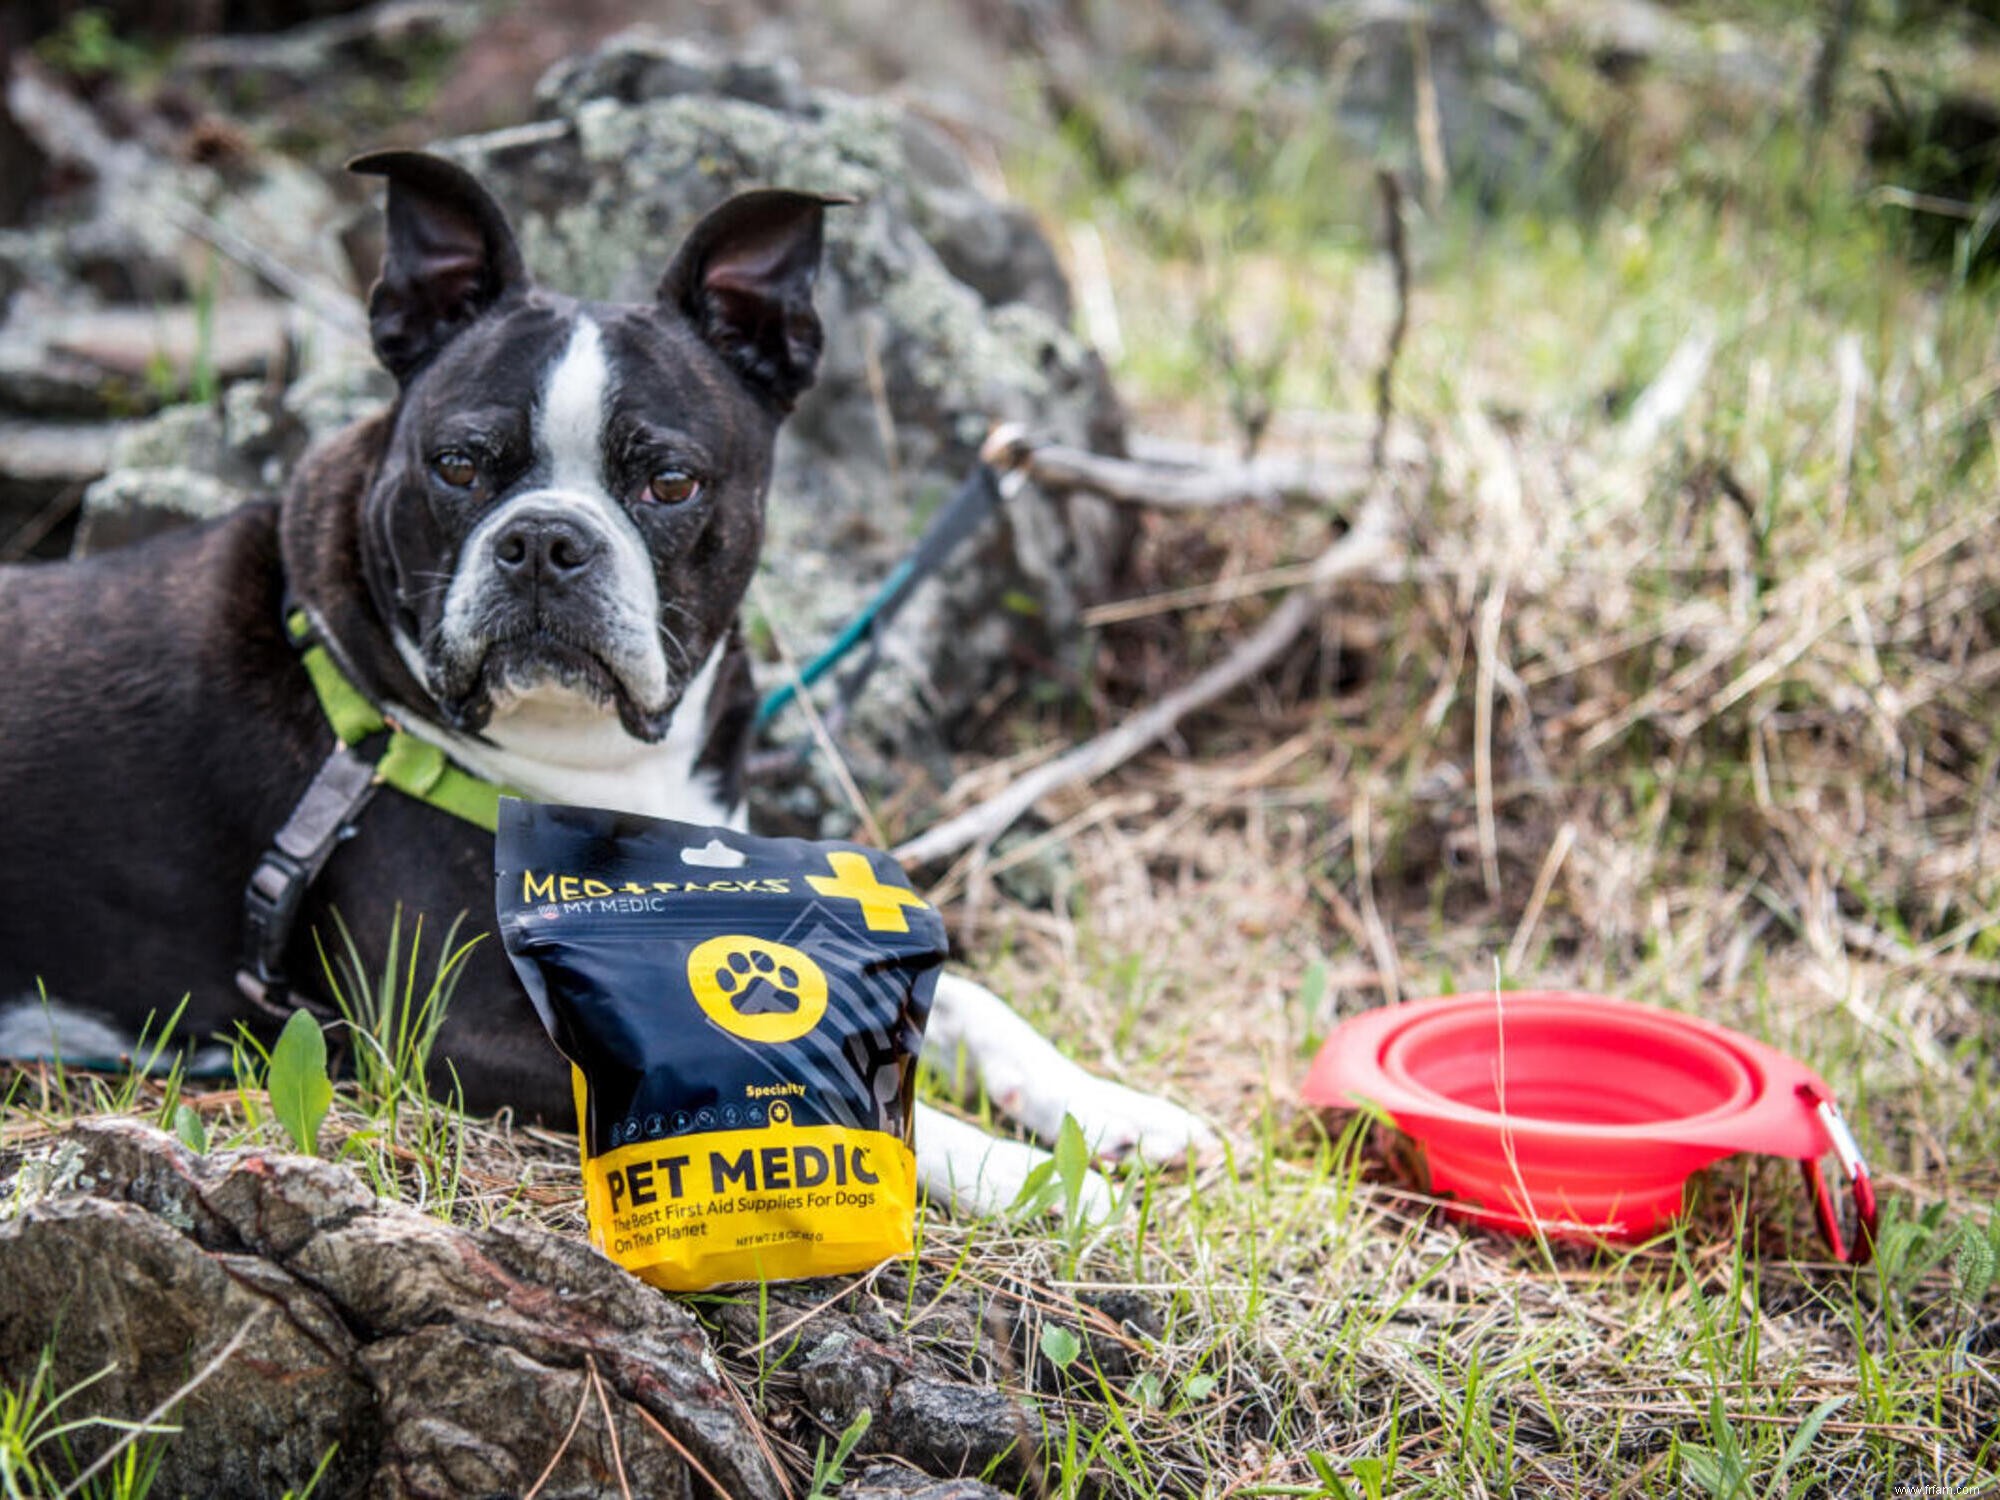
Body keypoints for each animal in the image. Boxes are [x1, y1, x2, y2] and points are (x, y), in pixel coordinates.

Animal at [0, 150, 1208, 1208]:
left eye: (669, 481)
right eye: (458, 464)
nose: (543, 541)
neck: (597, 764)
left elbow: (965, 997)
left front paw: (1108, 1110)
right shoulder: (457, 1023)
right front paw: (1031, 1177)